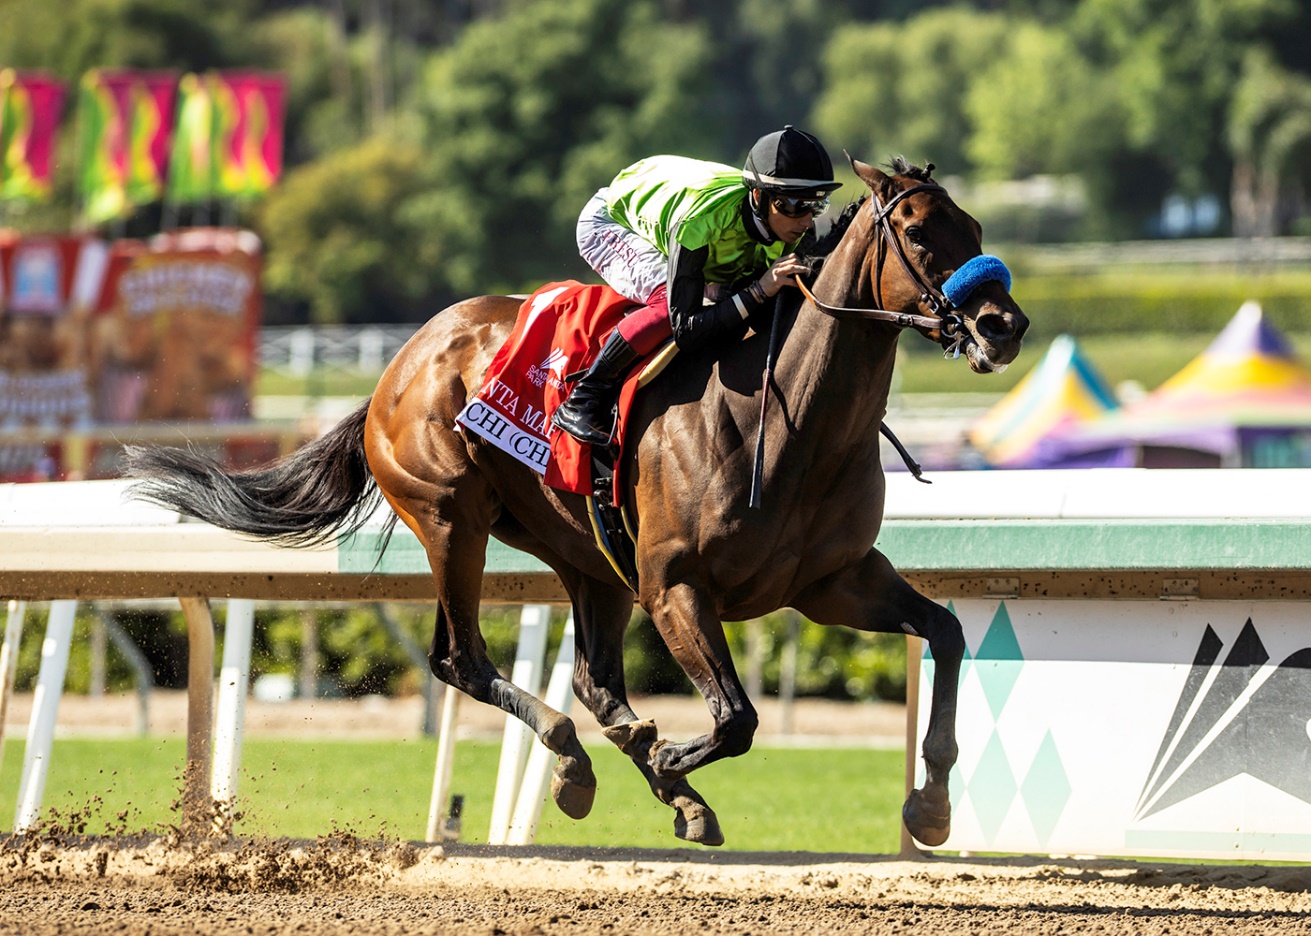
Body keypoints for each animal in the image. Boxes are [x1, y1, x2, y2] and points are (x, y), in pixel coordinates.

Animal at [127, 156, 1029, 848]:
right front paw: (668, 760)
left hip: (584, 554)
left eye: (978, 230)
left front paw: (930, 804)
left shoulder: (831, 581)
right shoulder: (674, 586)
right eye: (920, 234)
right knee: (462, 658)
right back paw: (583, 763)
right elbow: (735, 717)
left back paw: (647, 779)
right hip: (453, 518)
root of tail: (400, 362)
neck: (790, 421)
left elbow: (946, 634)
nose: (1004, 325)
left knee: (596, 684)